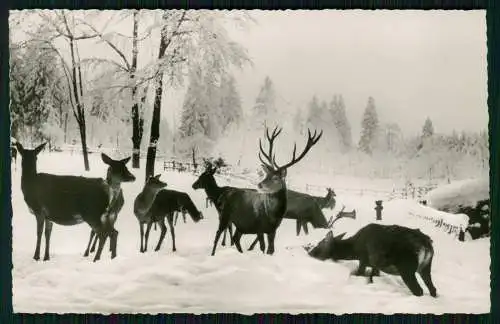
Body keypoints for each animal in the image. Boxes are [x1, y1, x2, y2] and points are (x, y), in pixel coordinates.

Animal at [197, 126, 322, 256]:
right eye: (267, 175)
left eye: (275, 178)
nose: (260, 184)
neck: (273, 215)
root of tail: (224, 196)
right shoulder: (259, 227)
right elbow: (263, 248)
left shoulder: (272, 230)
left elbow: (271, 250)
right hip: (225, 215)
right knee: (218, 233)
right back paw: (213, 254)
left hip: (241, 224)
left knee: (236, 238)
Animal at [304, 224, 438, 298]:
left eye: (319, 245)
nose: (309, 254)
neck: (354, 249)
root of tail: (426, 244)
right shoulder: (375, 264)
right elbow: (374, 275)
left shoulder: (363, 258)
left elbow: (360, 273)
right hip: (426, 266)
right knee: (433, 288)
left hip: (407, 266)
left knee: (418, 290)